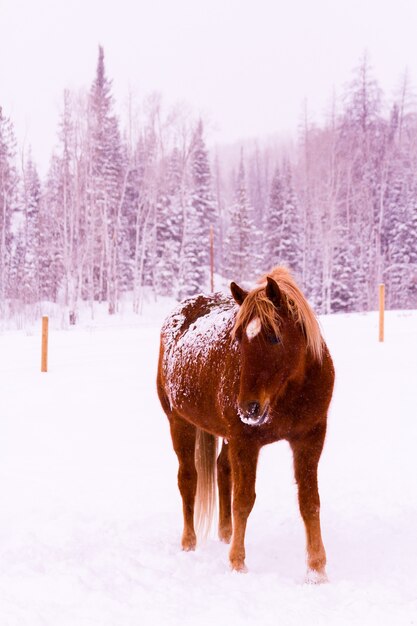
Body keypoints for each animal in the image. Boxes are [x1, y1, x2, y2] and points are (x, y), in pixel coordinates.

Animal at [156, 264, 334, 580]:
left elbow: (310, 502)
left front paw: (317, 569)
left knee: (221, 469)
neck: (290, 393)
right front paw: (237, 562)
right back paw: (189, 542)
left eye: (274, 336)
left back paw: (225, 533)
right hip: (180, 422)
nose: (248, 408)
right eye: (238, 338)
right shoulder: (246, 441)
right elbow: (243, 501)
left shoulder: (310, 438)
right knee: (188, 478)